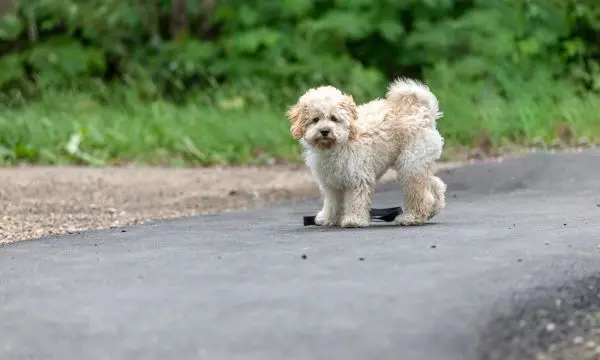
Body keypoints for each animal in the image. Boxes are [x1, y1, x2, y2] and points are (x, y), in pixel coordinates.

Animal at [284, 78, 446, 228]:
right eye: (315, 119)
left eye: (334, 118)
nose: (324, 131)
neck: (340, 143)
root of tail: (424, 112)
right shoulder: (332, 182)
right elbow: (333, 202)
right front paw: (329, 218)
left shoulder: (358, 176)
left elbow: (356, 200)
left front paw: (354, 220)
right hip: (417, 163)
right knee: (435, 184)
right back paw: (432, 209)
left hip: (410, 164)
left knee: (420, 193)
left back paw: (411, 218)